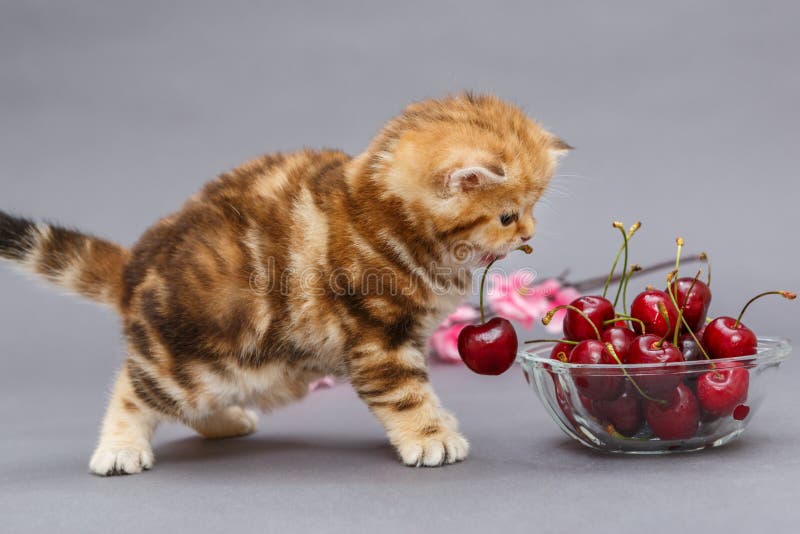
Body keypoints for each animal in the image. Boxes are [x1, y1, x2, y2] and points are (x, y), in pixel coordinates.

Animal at [0, 93, 568, 478]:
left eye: (534, 208)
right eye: (507, 215)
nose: (529, 233)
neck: (382, 215)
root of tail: (136, 267)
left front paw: (440, 422)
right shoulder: (377, 339)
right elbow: (405, 394)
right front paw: (432, 438)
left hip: (251, 371)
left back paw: (226, 421)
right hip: (188, 363)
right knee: (134, 390)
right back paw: (119, 448)